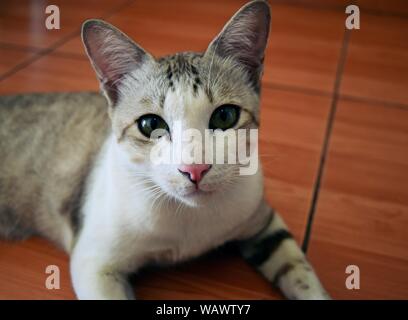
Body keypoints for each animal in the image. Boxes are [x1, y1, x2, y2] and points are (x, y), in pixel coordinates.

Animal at [0, 0, 328, 300]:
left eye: (225, 116)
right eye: (149, 124)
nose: (195, 169)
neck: (188, 217)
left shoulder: (259, 215)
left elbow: (298, 268)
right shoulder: (93, 262)